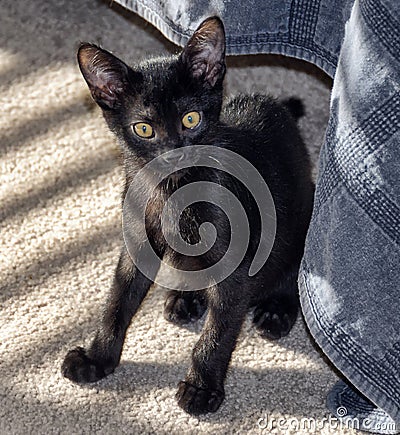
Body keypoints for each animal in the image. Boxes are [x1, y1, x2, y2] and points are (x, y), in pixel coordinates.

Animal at [62, 17, 314, 418]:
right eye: (144, 128)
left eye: (190, 119)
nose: (174, 152)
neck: (173, 191)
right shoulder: (135, 243)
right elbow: (117, 302)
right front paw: (96, 358)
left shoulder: (236, 267)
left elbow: (218, 331)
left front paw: (201, 387)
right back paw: (184, 298)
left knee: (295, 273)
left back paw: (276, 311)